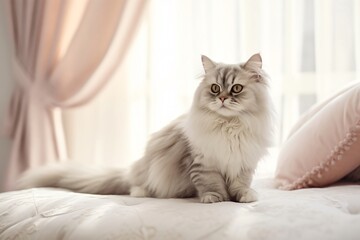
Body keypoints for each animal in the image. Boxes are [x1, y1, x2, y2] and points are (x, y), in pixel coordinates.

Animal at [17, 53, 276, 203]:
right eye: (214, 88)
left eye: (235, 89)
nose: (222, 98)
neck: (228, 126)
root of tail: (133, 170)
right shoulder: (203, 163)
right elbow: (211, 184)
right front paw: (215, 198)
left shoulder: (243, 162)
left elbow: (241, 185)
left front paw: (245, 197)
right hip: (150, 172)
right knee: (137, 187)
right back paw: (144, 192)